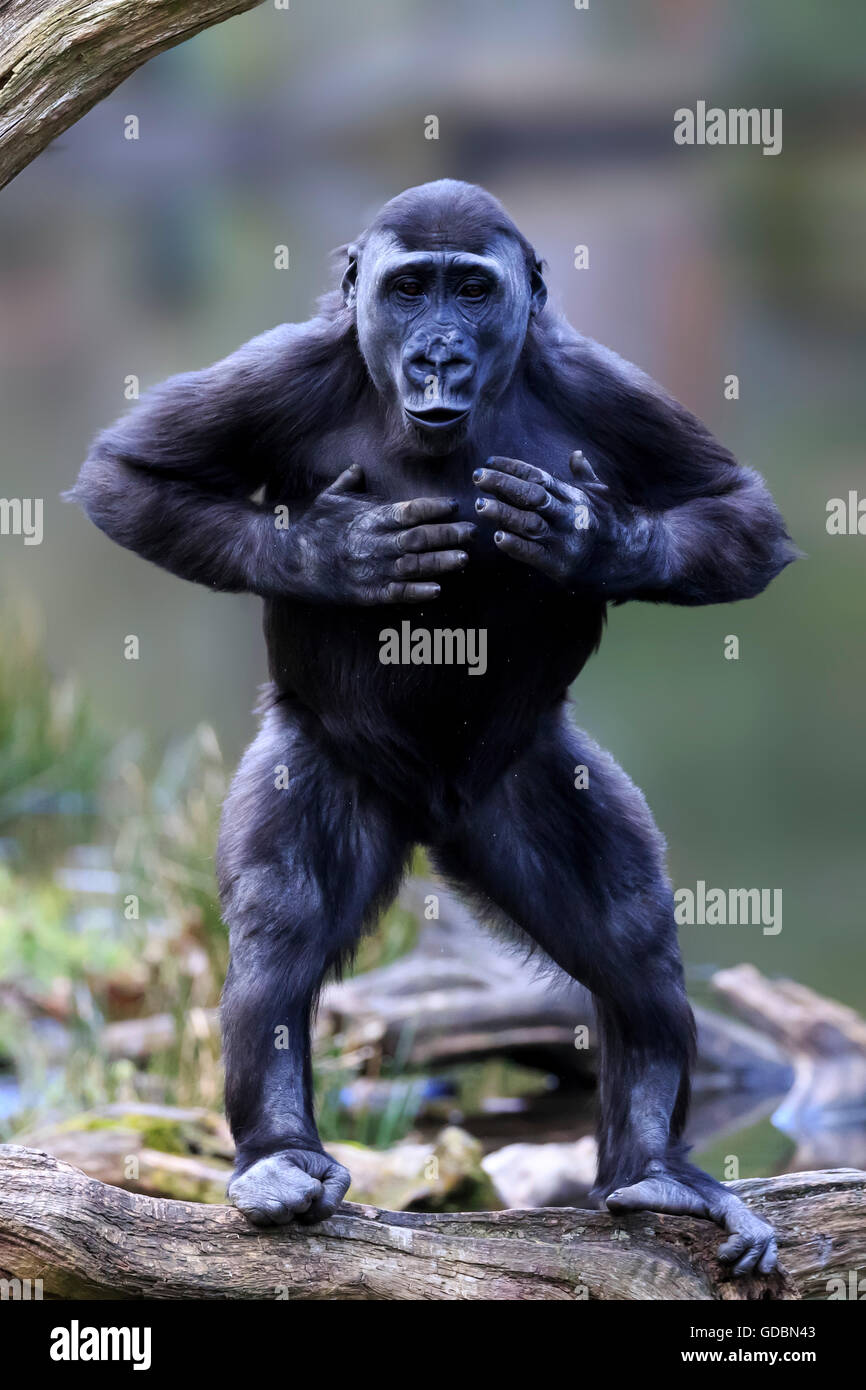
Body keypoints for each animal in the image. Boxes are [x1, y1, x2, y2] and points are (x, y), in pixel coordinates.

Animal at [71, 179, 795, 1273]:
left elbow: (737, 514)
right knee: (280, 926)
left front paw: (590, 541)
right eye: (410, 288)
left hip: (524, 782)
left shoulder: (603, 387)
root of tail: (434, 815)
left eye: (471, 289)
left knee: (628, 938)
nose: (439, 353)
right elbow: (131, 478)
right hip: (325, 765)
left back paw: (650, 1166)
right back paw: (276, 1156)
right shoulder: (280, 370)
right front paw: (330, 554)